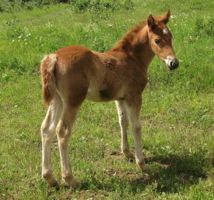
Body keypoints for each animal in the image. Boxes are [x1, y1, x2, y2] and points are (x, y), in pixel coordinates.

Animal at [40, 9, 179, 188]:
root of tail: (54, 57)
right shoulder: (135, 96)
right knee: (63, 132)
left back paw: (50, 178)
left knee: (46, 129)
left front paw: (127, 153)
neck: (132, 58)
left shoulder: (120, 98)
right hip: (73, 101)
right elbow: (136, 127)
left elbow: (123, 122)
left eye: (171, 37)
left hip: (57, 100)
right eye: (157, 40)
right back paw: (70, 179)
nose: (174, 63)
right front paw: (141, 163)